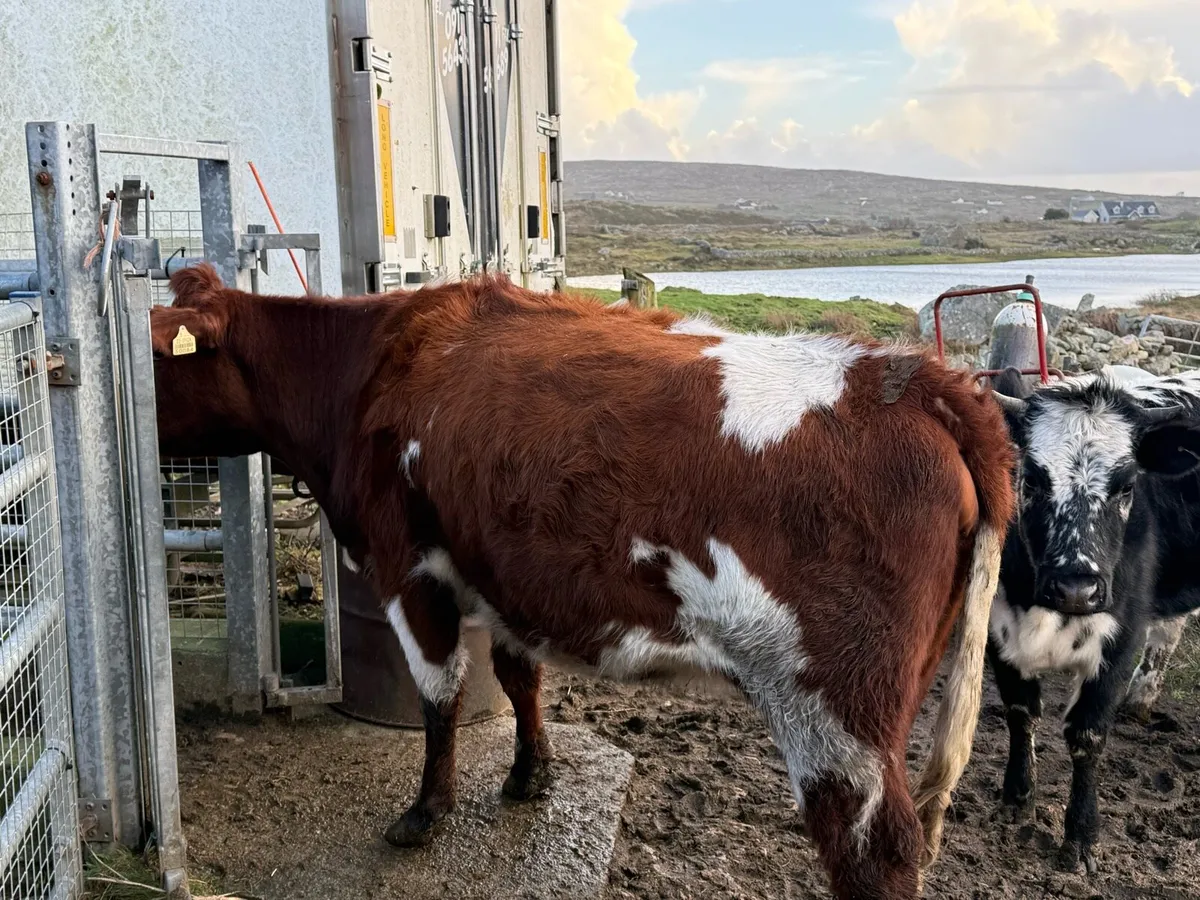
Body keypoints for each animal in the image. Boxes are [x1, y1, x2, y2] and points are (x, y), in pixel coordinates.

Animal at [150, 264, 1015, 900]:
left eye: (155, 355)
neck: (369, 367)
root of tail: (918, 379)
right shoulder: (501, 573)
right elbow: (517, 674)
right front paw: (531, 774)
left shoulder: (408, 568)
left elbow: (440, 697)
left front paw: (427, 812)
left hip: (834, 712)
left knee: (873, 849)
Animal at [990, 365, 1200, 874]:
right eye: (1031, 479)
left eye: (1127, 486)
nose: (1076, 588)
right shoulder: (999, 634)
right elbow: (1020, 713)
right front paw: (1017, 798)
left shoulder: (1121, 640)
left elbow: (1087, 735)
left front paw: (1081, 837)